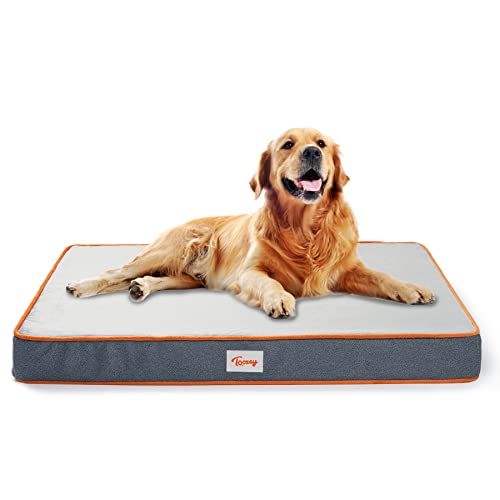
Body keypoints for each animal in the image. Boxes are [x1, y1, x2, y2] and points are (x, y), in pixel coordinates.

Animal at [66, 128, 435, 318]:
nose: (312, 153)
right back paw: (81, 285)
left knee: (150, 279)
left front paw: (412, 288)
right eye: (288, 144)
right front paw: (279, 299)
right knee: (116, 271)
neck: (304, 229)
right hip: (169, 251)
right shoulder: (248, 272)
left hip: (190, 278)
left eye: (321, 144)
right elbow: (269, 282)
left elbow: (382, 276)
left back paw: (141, 287)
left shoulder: (346, 269)